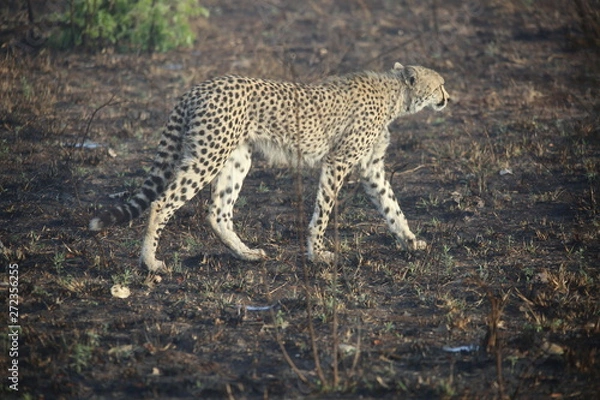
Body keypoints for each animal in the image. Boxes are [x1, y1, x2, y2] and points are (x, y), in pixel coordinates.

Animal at [88, 62, 446, 270]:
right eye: (439, 84)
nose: (447, 98)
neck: (395, 94)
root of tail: (199, 87)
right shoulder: (338, 160)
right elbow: (324, 211)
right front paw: (318, 254)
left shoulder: (371, 168)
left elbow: (392, 207)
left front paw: (410, 241)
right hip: (209, 155)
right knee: (162, 202)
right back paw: (150, 261)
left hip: (236, 157)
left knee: (218, 212)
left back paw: (245, 254)